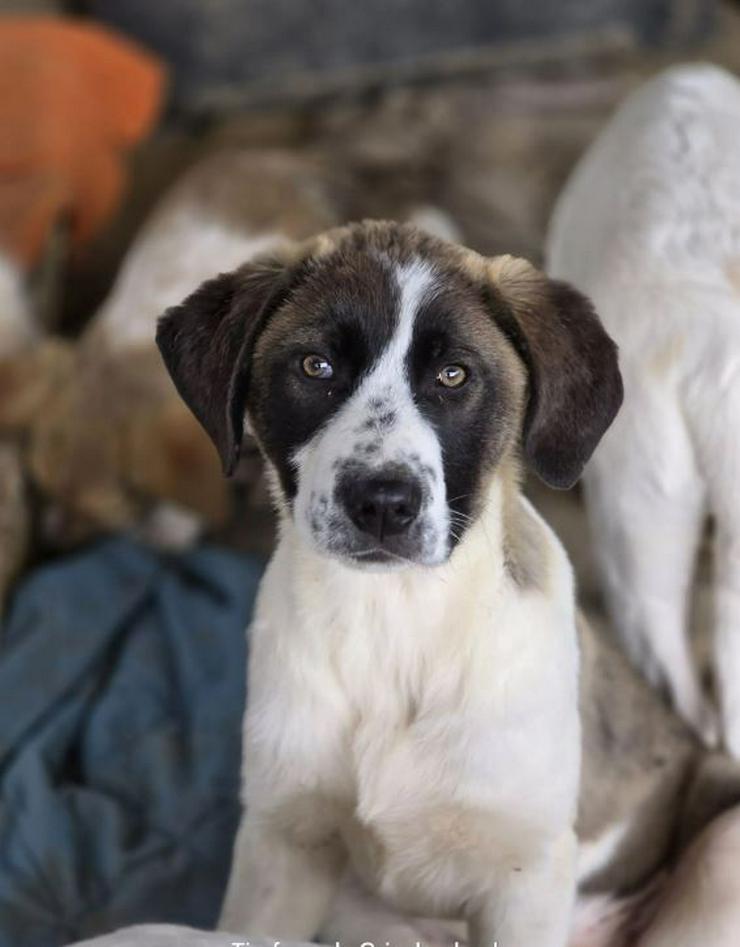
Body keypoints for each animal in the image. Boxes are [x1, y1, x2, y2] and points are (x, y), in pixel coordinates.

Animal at [150, 218, 740, 944]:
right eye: (316, 367)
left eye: (454, 375)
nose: (382, 503)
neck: (392, 623)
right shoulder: (282, 840)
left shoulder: (525, 874)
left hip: (720, 849)